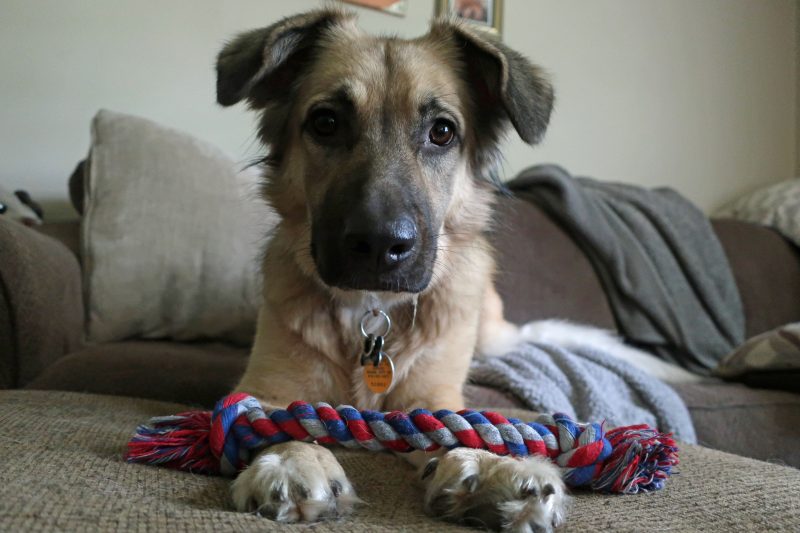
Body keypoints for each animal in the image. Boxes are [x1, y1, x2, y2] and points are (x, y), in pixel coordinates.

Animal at [214, 6, 692, 528]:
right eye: (325, 122)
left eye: (441, 131)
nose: (380, 245)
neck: (372, 311)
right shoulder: (268, 385)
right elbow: (275, 422)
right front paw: (294, 461)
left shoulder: (434, 395)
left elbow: (459, 428)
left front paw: (492, 467)